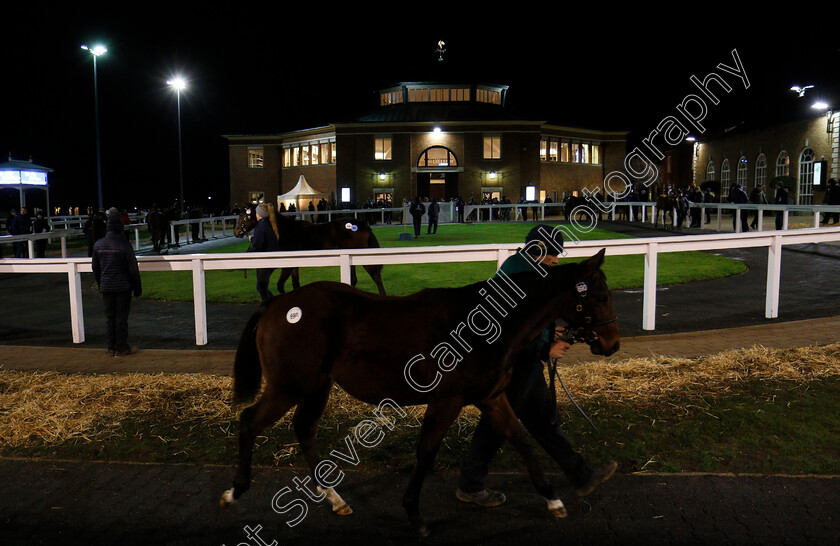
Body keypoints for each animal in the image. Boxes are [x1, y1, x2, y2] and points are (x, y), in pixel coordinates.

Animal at [220, 249, 620, 532]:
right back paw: (234, 490)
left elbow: (521, 439)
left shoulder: (491, 397)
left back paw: (333, 497)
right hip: (288, 386)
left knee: (304, 428)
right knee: (249, 421)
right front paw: (414, 514)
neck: (484, 324)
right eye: (600, 297)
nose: (612, 343)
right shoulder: (446, 400)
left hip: (317, 386)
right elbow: (426, 452)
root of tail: (277, 304)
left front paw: (554, 500)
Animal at [233, 208, 384, 294]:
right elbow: (295, 284)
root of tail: (364, 225)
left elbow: (280, 285)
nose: (236, 232)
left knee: (376, 277)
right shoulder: (295, 264)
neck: (286, 231)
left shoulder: (287, 265)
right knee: (354, 279)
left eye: (244, 217)